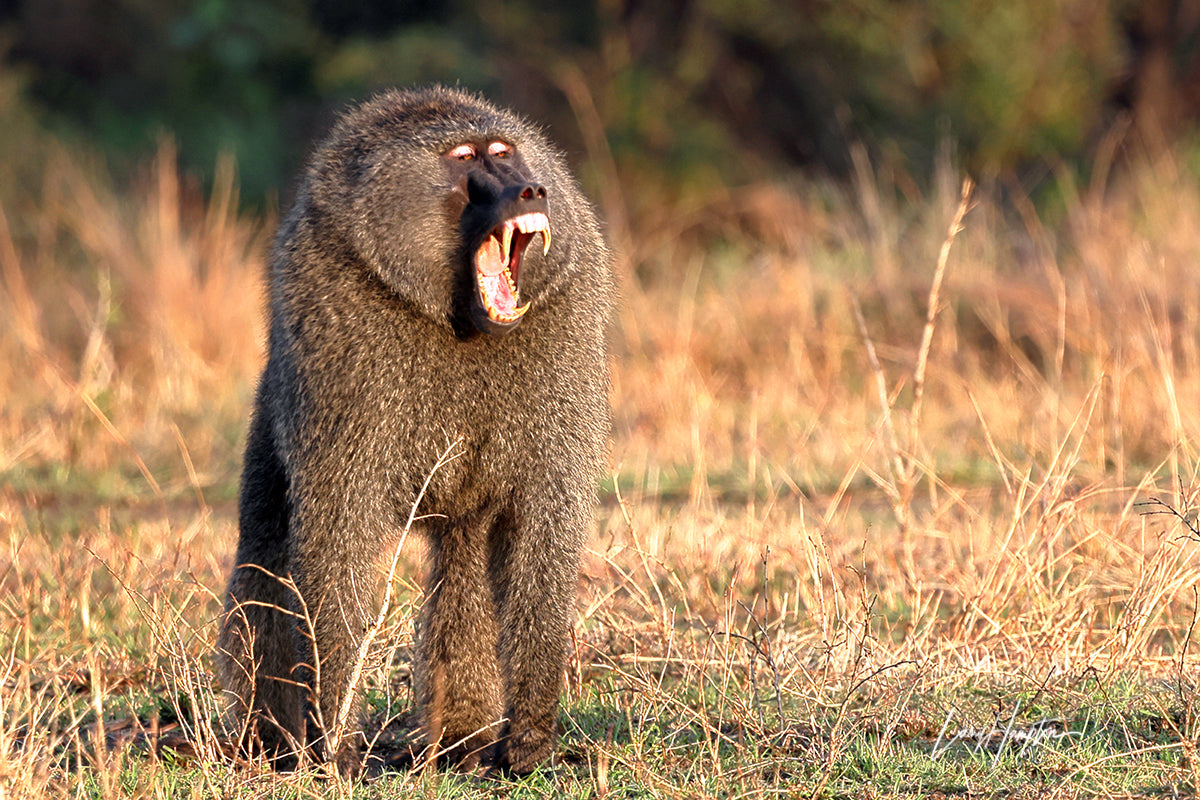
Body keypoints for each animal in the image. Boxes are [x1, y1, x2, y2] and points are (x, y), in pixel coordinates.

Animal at [215, 86, 614, 777]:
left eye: (504, 151)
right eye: (466, 158)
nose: (533, 189)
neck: (459, 323)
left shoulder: (567, 313)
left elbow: (540, 521)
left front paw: (531, 741)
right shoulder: (340, 326)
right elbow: (337, 534)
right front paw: (333, 745)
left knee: (464, 557)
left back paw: (461, 743)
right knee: (264, 557)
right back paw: (265, 741)